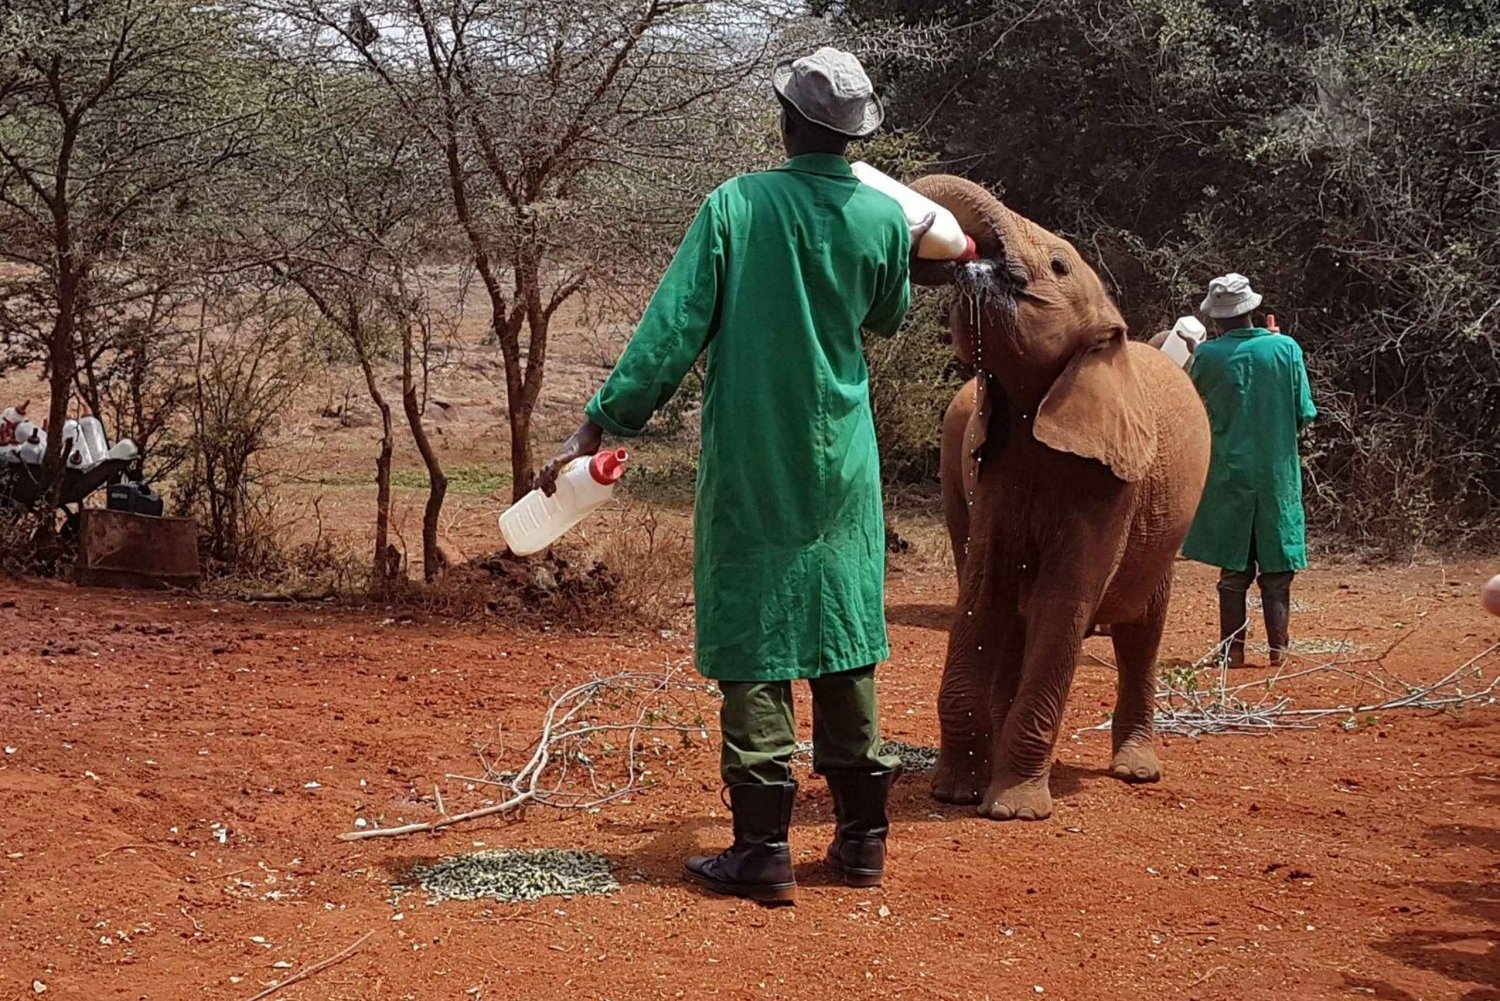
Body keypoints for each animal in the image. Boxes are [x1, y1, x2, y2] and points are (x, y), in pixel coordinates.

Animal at [906, 177, 1212, 822]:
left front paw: (1014, 810)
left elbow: (1063, 601)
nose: (962, 255)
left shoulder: (1111, 488)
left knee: (1141, 633)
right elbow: (983, 589)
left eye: (1059, 265)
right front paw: (954, 793)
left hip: (1161, 535)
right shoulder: (992, 469)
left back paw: (1135, 770)